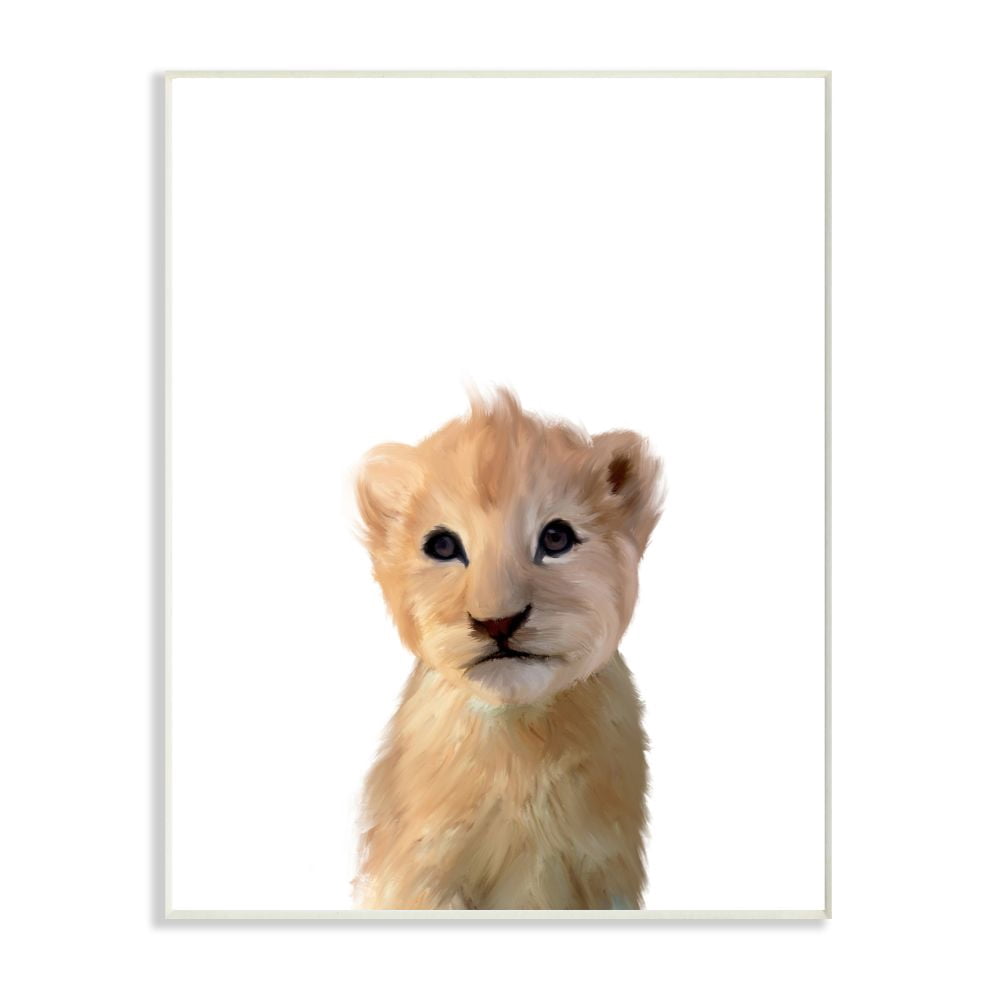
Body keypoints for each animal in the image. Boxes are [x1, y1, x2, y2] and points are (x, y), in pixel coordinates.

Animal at [353, 389, 664, 909]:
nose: (498, 620)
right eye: (442, 546)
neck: (518, 743)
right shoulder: (421, 871)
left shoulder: (603, 870)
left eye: (556, 538)